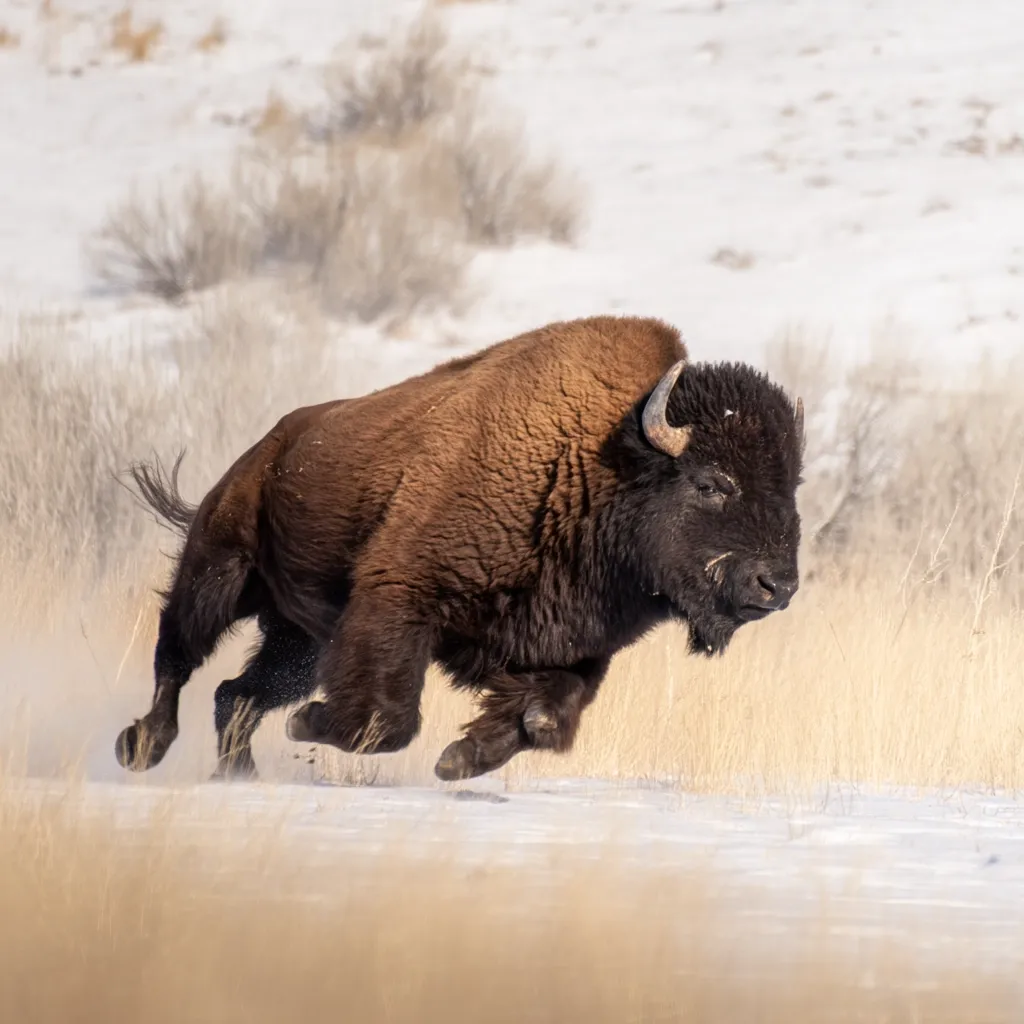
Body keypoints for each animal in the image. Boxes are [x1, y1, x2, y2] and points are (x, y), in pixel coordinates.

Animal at [115, 315, 804, 781]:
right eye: (710, 482)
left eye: (792, 484)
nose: (778, 585)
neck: (597, 465)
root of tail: (266, 448)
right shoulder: (399, 602)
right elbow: (389, 720)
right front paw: (311, 723)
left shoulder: (572, 652)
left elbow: (544, 721)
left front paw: (461, 758)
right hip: (219, 574)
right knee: (177, 656)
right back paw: (142, 746)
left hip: (299, 639)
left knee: (237, 692)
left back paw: (238, 771)